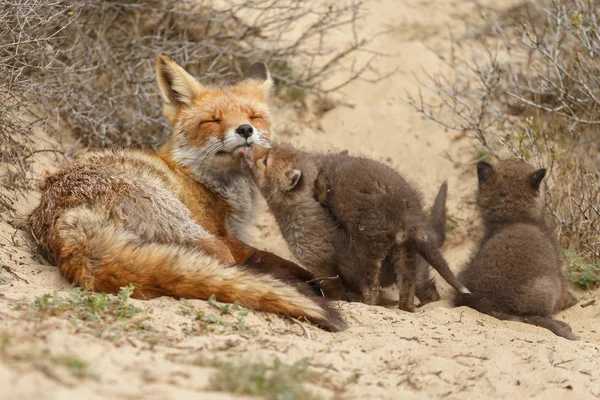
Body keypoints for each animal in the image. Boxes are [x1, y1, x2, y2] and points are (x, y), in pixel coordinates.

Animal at [28, 55, 346, 332]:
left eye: (254, 116)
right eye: (213, 120)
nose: (245, 129)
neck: (209, 183)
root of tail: (68, 218)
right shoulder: (223, 235)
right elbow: (272, 258)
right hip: (189, 227)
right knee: (226, 266)